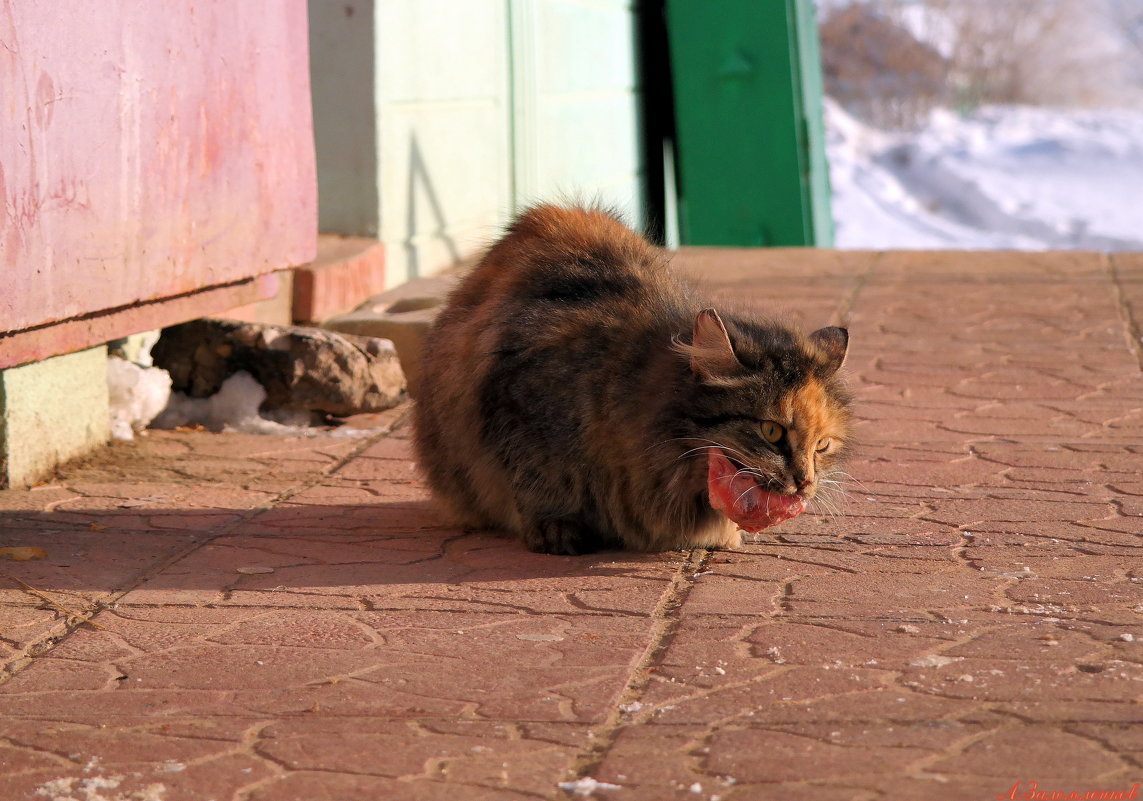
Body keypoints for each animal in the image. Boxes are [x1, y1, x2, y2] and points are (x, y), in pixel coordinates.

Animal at [411, 203, 850, 553]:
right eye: (771, 432)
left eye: (822, 445)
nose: (804, 483)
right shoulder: (516, 406)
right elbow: (538, 482)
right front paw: (556, 529)